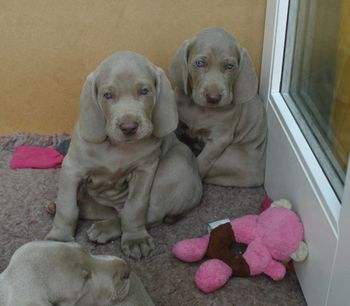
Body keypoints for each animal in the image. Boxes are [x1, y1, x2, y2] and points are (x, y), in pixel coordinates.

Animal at [45, 52, 202, 258]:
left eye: (144, 91)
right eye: (107, 95)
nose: (129, 127)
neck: (117, 148)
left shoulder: (144, 170)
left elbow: (135, 207)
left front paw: (136, 239)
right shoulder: (73, 168)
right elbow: (67, 206)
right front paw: (59, 239)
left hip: (176, 165)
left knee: (146, 214)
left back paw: (105, 229)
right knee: (104, 209)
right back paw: (61, 207)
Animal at [168, 27, 266, 188]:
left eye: (229, 66)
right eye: (200, 63)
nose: (213, 98)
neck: (200, 109)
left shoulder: (219, 139)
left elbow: (201, 162)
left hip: (228, 159)